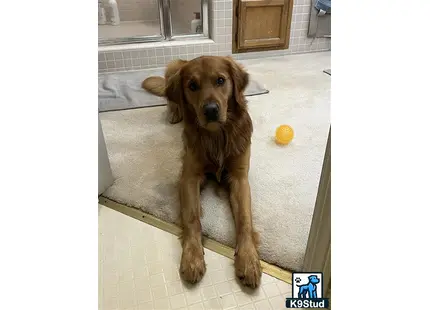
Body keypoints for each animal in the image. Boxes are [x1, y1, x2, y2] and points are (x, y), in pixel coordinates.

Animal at [142, 56, 262, 288]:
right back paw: (175, 113)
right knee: (171, 100)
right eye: (192, 86)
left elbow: (244, 218)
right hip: (172, 68)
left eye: (221, 80)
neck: (217, 136)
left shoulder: (240, 178)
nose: (211, 110)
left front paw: (248, 259)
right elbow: (192, 218)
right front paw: (192, 258)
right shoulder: (189, 177)